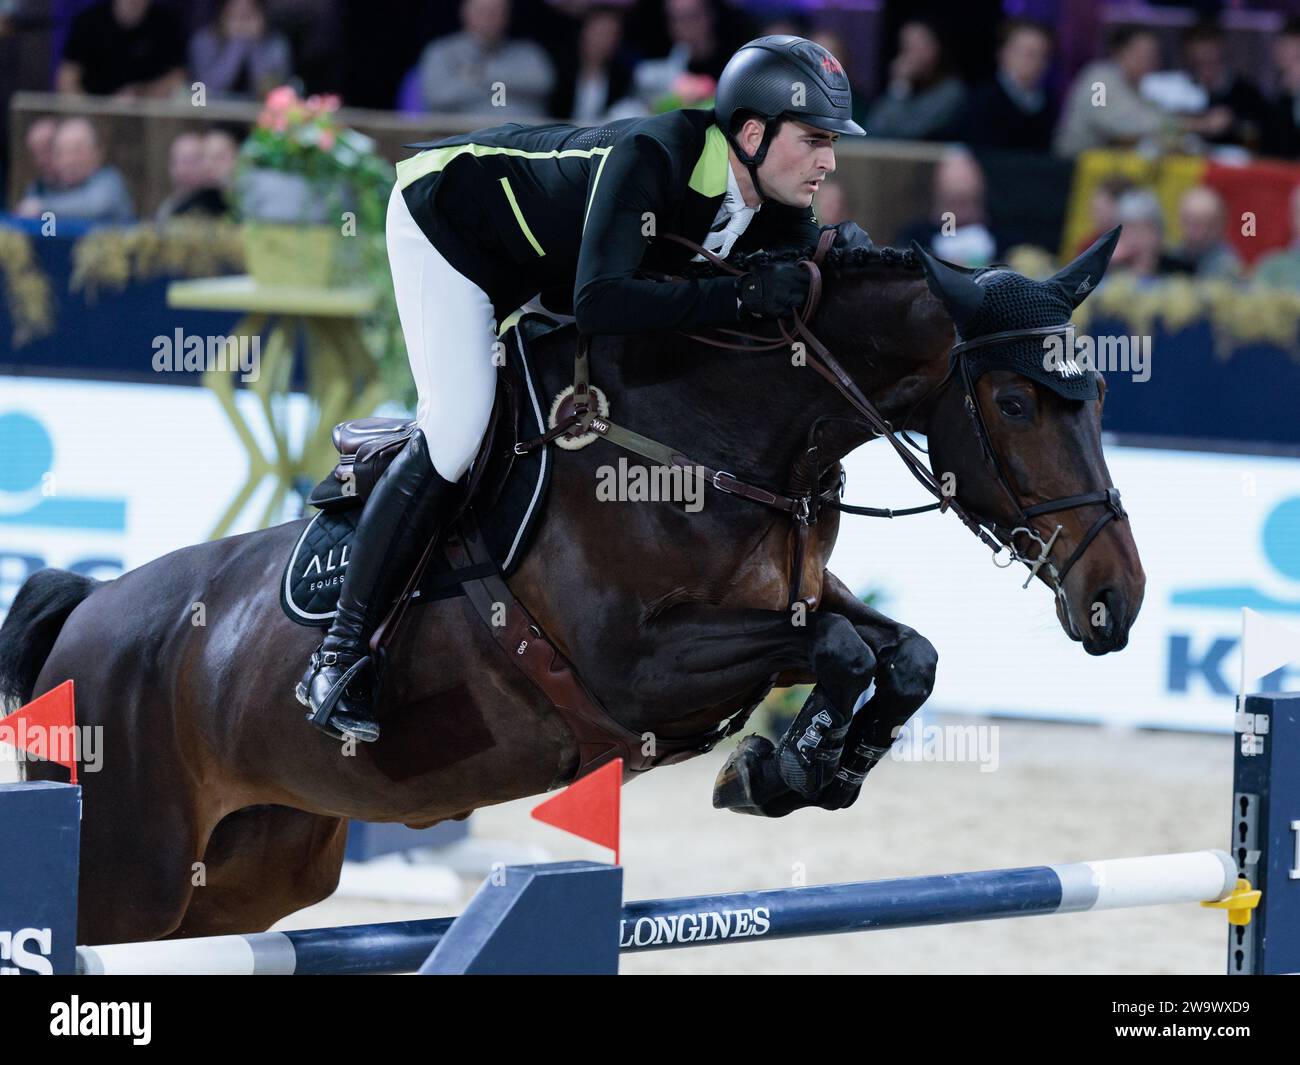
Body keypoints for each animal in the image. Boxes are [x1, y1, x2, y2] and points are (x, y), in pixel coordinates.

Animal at [0, 227, 1138, 941]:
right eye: (1016, 402)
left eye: (1094, 392)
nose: (1114, 600)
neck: (713, 436)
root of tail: (85, 613)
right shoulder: (635, 669)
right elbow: (843, 649)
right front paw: (787, 764)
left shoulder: (790, 599)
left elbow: (903, 655)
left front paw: (796, 769)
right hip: (131, 874)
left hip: (249, 873)